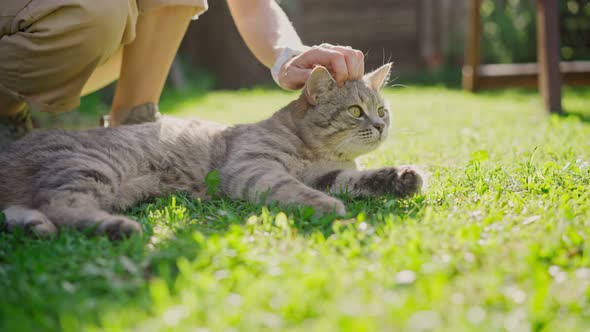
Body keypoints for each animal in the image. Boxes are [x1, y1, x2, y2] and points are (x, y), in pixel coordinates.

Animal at [1, 63, 426, 239]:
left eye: (382, 110)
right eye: (356, 111)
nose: (381, 125)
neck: (312, 150)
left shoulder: (327, 174)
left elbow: (357, 179)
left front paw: (401, 177)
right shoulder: (251, 166)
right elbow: (293, 188)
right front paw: (327, 207)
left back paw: (34, 226)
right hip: (89, 167)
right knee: (61, 204)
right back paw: (117, 227)